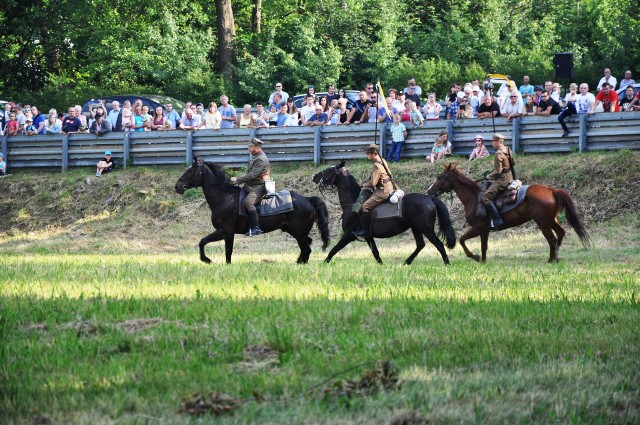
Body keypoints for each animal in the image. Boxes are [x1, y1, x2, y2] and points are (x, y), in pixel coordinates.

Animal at [178, 155, 332, 262]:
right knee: (307, 246)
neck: (224, 198)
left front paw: (206, 259)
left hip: (299, 233)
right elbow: (228, 252)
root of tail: (307, 199)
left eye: (191, 171)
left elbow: (203, 242)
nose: (177, 186)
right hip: (295, 232)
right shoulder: (229, 234)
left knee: (306, 249)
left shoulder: (224, 231)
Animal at [314, 160, 456, 264]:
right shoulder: (368, 237)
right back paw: (407, 262)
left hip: (425, 228)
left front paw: (324, 263)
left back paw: (447, 263)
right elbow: (375, 253)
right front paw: (381, 265)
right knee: (420, 245)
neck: (353, 202)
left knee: (439, 244)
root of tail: (429, 198)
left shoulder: (349, 235)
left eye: (329, 170)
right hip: (416, 228)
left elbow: (334, 250)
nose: (314, 177)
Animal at [428, 162, 588, 262]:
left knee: (552, 239)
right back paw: (557, 256)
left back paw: (551, 259)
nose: (430, 191)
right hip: (550, 220)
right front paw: (483, 261)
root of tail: (552, 191)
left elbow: (462, 240)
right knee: (561, 233)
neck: (473, 198)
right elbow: (484, 247)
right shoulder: (484, 231)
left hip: (543, 223)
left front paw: (475, 257)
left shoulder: (478, 228)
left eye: (440, 177)